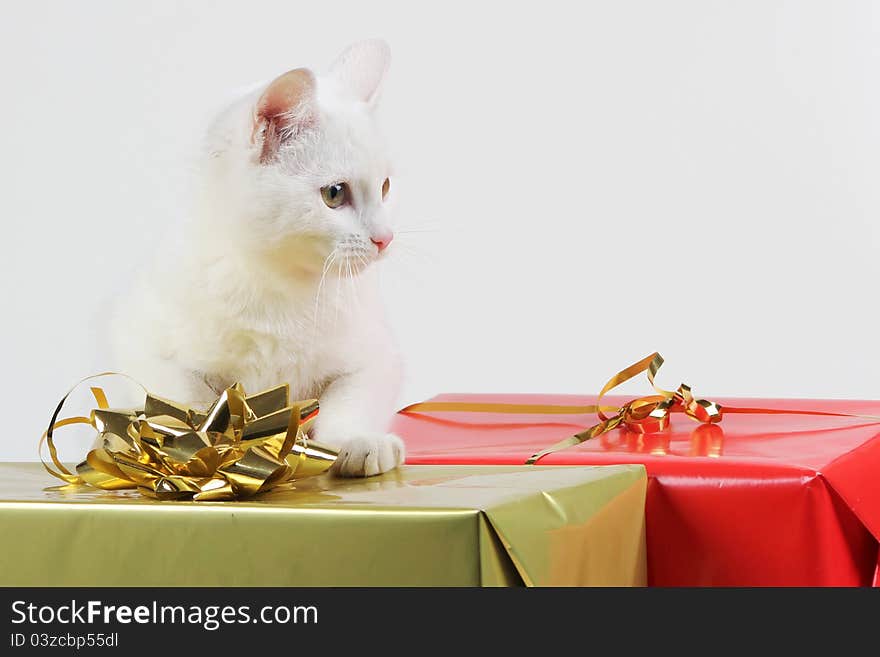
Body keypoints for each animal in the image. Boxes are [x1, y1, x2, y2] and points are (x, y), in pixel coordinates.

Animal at [111, 38, 410, 476]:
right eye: (334, 194)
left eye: (385, 187)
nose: (384, 239)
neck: (278, 283)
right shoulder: (140, 343)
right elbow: (182, 401)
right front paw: (198, 449)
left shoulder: (375, 354)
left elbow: (351, 397)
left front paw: (356, 441)